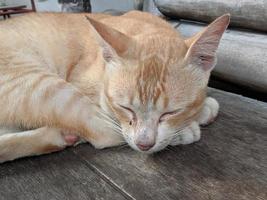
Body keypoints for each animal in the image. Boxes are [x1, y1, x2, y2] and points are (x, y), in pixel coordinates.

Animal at [0, 10, 230, 162]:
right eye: (125, 108)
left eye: (170, 112)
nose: (144, 144)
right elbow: (115, 124)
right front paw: (190, 123)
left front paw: (201, 109)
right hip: (42, 85)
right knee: (101, 133)